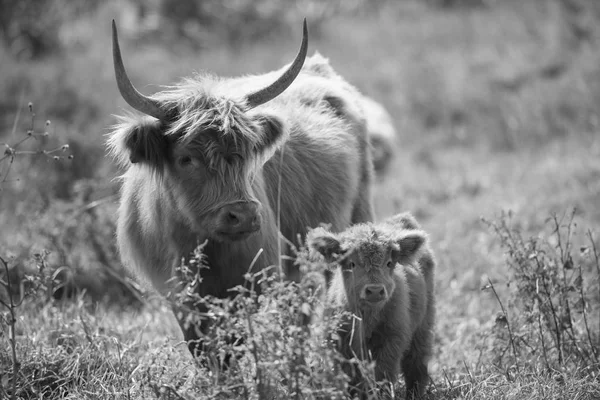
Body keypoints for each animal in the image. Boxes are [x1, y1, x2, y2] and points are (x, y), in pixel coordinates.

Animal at [105, 19, 372, 356]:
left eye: (246, 154)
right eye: (186, 158)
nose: (242, 215)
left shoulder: (252, 283)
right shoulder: (178, 297)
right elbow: (203, 350)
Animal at [310, 212, 436, 396]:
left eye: (389, 263)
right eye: (351, 263)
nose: (375, 290)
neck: (367, 318)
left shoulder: (392, 339)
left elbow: (382, 373)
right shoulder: (342, 342)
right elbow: (350, 374)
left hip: (423, 326)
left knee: (416, 363)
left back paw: (414, 393)